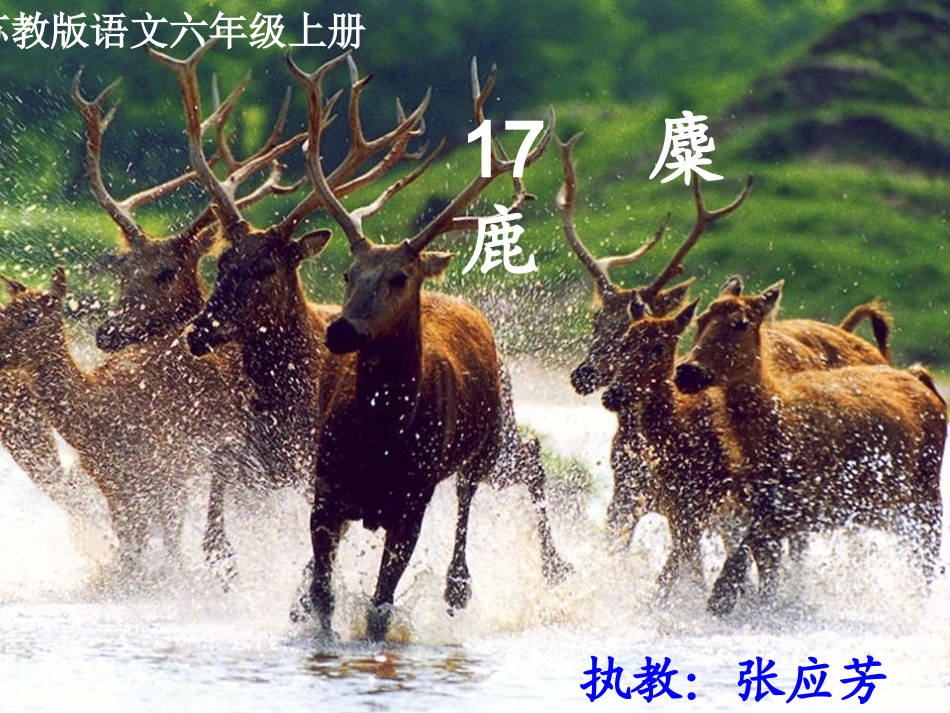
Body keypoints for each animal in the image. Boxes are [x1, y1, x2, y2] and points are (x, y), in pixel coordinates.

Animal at [179, 47, 569, 640]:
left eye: (266, 268)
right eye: (221, 263)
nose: (198, 331)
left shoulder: (390, 499)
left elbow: (376, 604)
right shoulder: (303, 476)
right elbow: (316, 583)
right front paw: (229, 562)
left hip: (489, 440)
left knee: (507, 474)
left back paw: (535, 571)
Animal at [674, 281, 945, 616]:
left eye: (741, 322)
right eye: (700, 320)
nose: (687, 371)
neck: (772, 430)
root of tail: (923, 381)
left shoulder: (806, 504)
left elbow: (748, 553)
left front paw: (720, 598)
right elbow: (764, 568)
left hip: (926, 500)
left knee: (926, 564)